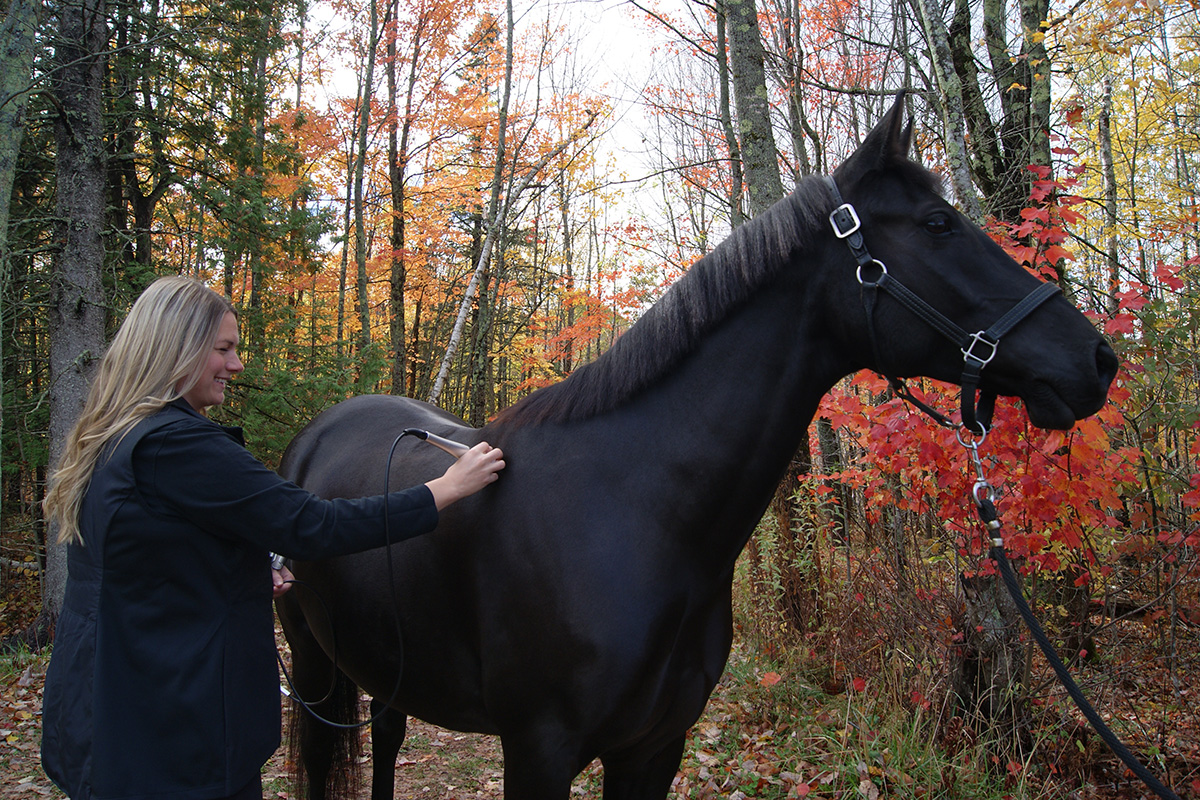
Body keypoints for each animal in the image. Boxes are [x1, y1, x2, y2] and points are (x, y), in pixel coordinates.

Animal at [275, 93, 1117, 800]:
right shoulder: (538, 750)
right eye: (939, 224)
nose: (1098, 360)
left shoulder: (654, 747)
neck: (634, 514)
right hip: (314, 666)